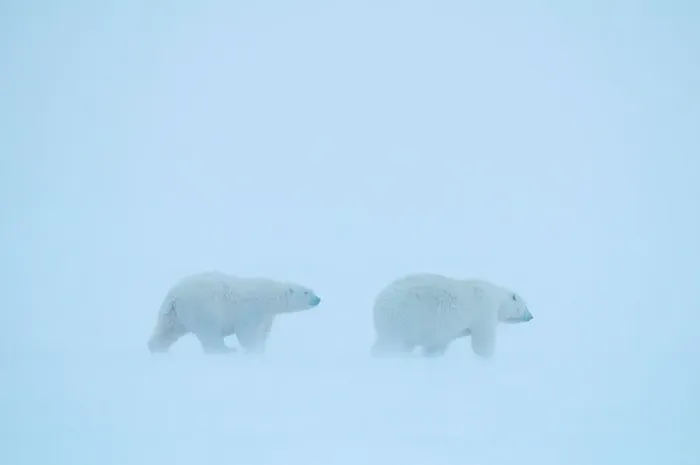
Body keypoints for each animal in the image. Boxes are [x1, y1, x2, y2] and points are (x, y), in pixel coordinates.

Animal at [147, 271, 322, 354]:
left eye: (312, 290)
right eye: (306, 292)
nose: (318, 299)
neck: (270, 295)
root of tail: (173, 295)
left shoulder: (267, 315)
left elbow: (263, 330)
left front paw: (260, 348)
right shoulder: (252, 307)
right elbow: (245, 329)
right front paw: (253, 350)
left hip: (173, 313)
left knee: (167, 329)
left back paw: (157, 349)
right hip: (203, 308)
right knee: (209, 332)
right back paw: (226, 350)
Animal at [370, 273, 532, 359]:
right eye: (525, 306)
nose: (531, 316)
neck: (496, 297)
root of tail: (377, 302)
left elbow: (439, 343)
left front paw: (432, 355)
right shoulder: (484, 311)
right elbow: (483, 340)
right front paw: (488, 358)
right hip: (402, 318)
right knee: (391, 343)